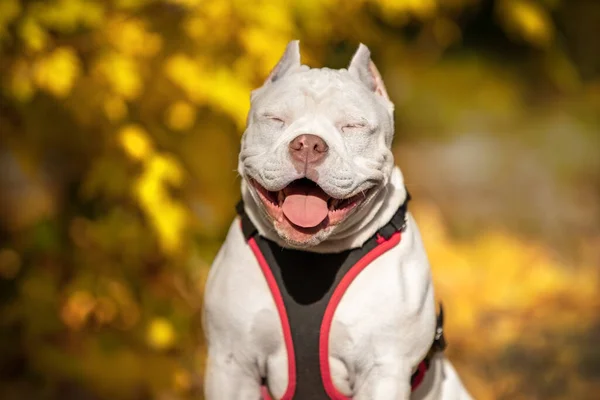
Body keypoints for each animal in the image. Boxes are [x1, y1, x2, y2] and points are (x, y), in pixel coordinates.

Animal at [203, 41, 474, 400]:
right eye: (275, 118)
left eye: (353, 126)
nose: (307, 143)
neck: (314, 254)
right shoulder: (231, 362)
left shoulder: (384, 370)